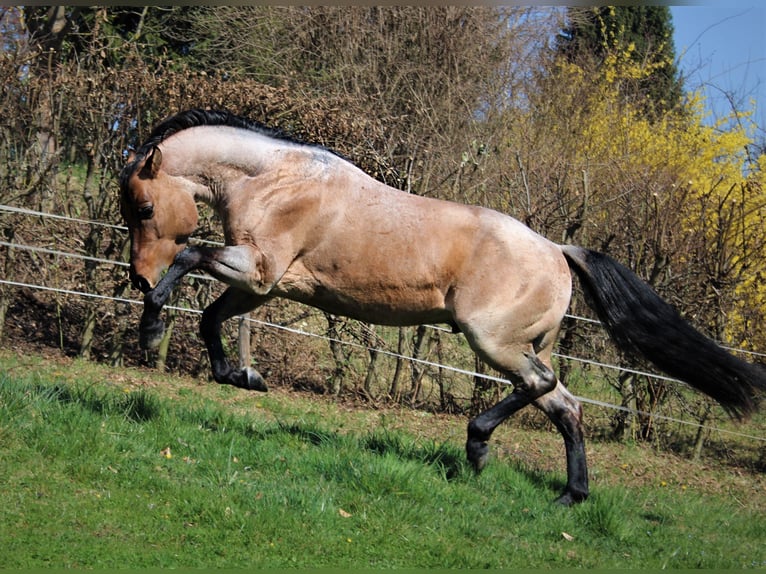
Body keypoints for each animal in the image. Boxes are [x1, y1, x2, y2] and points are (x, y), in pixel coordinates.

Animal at [120, 108, 766, 504]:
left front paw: (152, 328)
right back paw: (568, 495)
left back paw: (477, 448)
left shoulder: (256, 271)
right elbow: (210, 319)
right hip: (514, 344)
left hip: (492, 339)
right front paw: (243, 376)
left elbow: (190, 257)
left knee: (540, 387)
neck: (276, 180)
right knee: (565, 403)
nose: (135, 275)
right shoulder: (263, 285)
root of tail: (558, 250)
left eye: (145, 209)